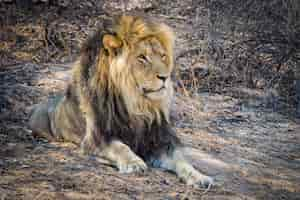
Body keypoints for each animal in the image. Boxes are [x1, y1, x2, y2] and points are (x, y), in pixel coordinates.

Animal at [28, 15, 213, 188]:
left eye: (162, 56)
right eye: (142, 58)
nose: (165, 77)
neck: (136, 105)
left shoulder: (159, 140)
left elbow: (181, 159)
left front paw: (199, 177)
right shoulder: (98, 137)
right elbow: (121, 147)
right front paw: (134, 163)